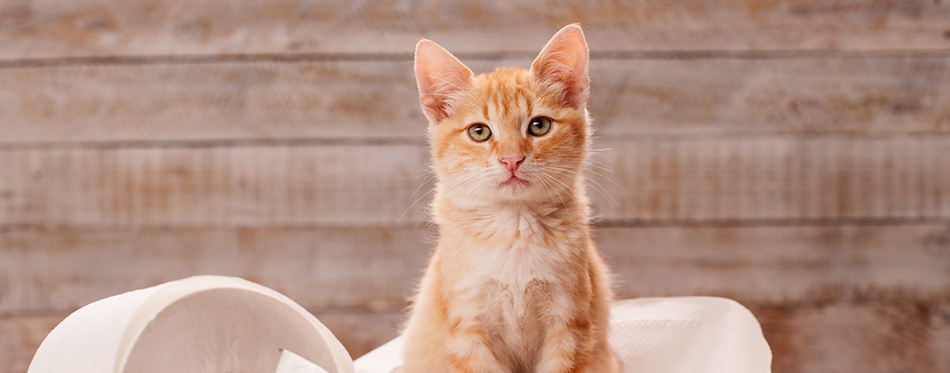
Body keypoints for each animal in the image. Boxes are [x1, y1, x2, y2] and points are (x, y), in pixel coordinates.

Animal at [400, 24, 616, 370]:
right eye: (479, 132)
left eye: (539, 126)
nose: (512, 159)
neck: (514, 231)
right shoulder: (468, 326)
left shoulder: (569, 323)